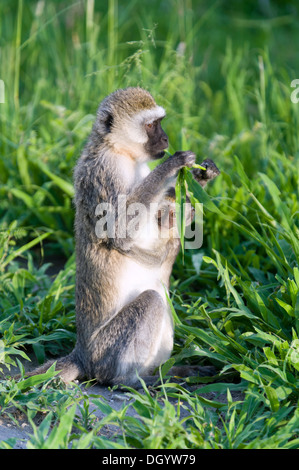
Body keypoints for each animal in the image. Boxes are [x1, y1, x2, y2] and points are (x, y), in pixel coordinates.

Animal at [25, 87, 220, 386]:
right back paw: (131, 381)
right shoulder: (105, 171)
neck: (122, 152)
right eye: (151, 125)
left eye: (160, 122)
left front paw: (202, 175)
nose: (166, 138)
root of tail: (83, 354)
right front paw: (172, 166)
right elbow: (118, 234)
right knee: (151, 301)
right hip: (105, 349)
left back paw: (171, 372)